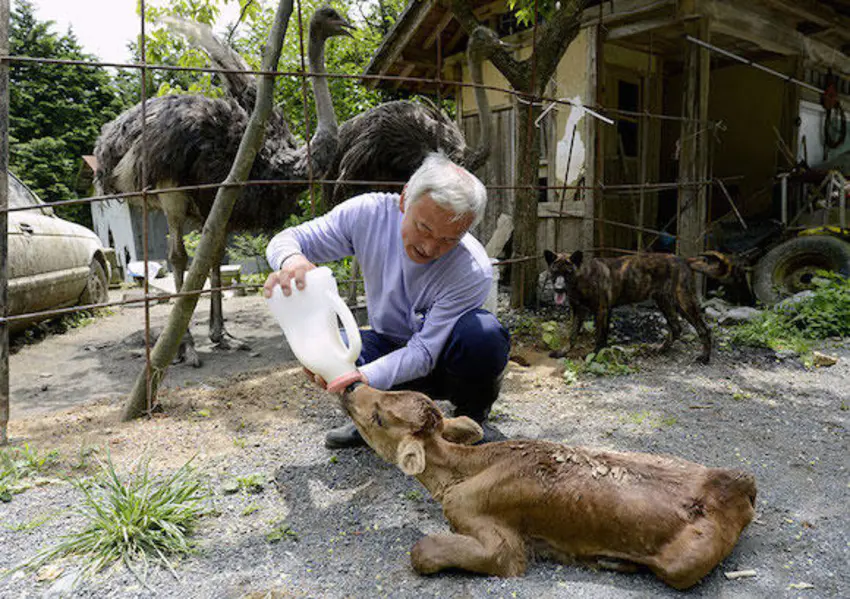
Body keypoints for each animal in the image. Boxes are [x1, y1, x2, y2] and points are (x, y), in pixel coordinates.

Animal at [342, 384, 760, 592]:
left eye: (379, 417)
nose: (351, 387)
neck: (461, 473)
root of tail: (741, 485)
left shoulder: (501, 545)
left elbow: (423, 550)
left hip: (685, 563)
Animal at [544, 250, 708, 364]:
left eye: (568, 273)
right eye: (555, 271)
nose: (558, 289)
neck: (582, 279)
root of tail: (683, 259)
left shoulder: (601, 310)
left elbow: (599, 336)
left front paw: (595, 355)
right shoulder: (578, 311)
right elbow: (572, 335)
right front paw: (562, 352)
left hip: (683, 302)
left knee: (703, 329)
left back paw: (705, 358)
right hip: (665, 302)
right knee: (676, 327)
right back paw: (661, 349)